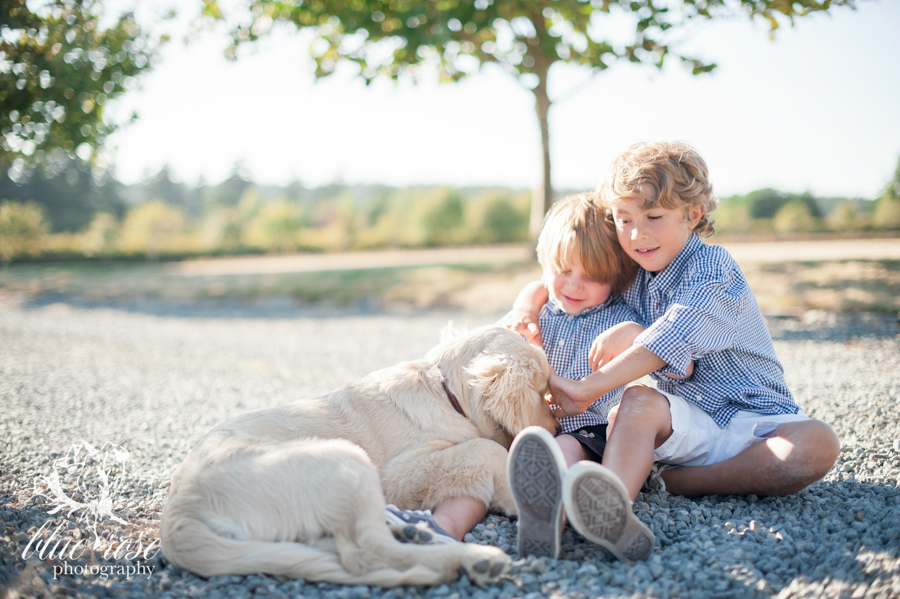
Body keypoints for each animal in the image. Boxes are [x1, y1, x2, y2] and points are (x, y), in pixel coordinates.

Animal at [160, 326, 556, 588]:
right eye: (543, 391)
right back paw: (473, 559)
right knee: (364, 553)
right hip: (345, 461)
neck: (444, 391)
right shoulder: (399, 473)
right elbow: (486, 448)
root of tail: (177, 517)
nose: (554, 427)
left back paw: (413, 533)